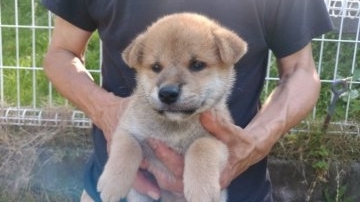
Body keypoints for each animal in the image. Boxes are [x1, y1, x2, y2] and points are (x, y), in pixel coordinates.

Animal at [96, 12, 248, 202]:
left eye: (197, 65)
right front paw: (113, 183)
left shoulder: (221, 142)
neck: (174, 128)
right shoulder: (127, 129)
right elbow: (127, 147)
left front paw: (201, 190)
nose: (167, 93)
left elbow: (201, 146)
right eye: (156, 67)